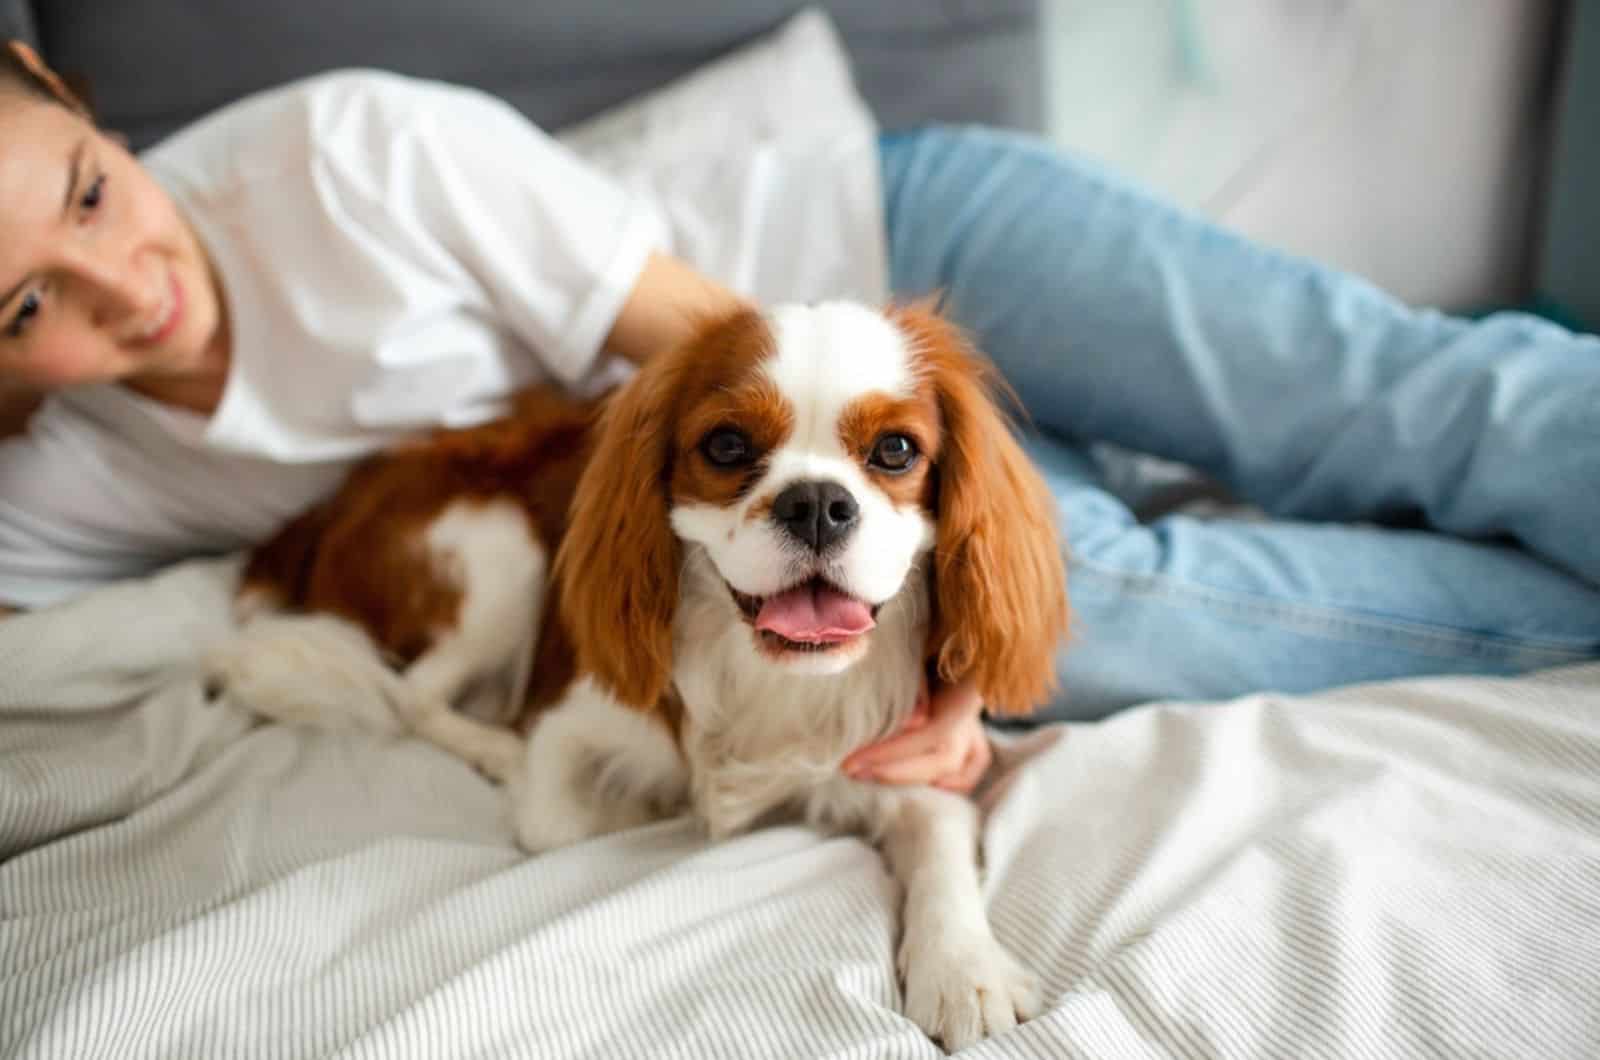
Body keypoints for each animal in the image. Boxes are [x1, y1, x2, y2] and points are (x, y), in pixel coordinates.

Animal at [206, 301, 1068, 1056]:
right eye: (726, 445)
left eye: (895, 451)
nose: (818, 502)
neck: (767, 673)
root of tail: (322, 512)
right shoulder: (570, 716)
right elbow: (556, 819)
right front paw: (645, 805)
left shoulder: (910, 756)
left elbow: (943, 856)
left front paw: (964, 973)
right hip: (502, 554)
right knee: (415, 696)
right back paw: (497, 748)